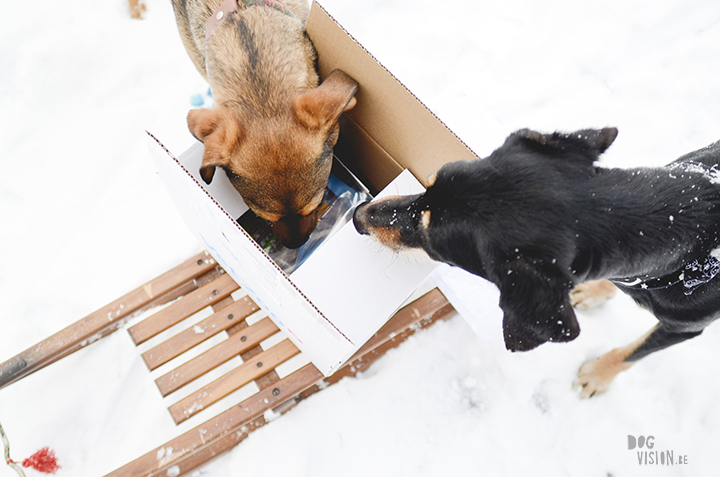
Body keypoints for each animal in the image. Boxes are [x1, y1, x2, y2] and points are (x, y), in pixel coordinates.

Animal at [352, 128, 720, 396]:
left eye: (432, 243)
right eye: (426, 187)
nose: (358, 216)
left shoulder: (684, 328)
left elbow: (636, 351)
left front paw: (596, 375)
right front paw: (595, 291)